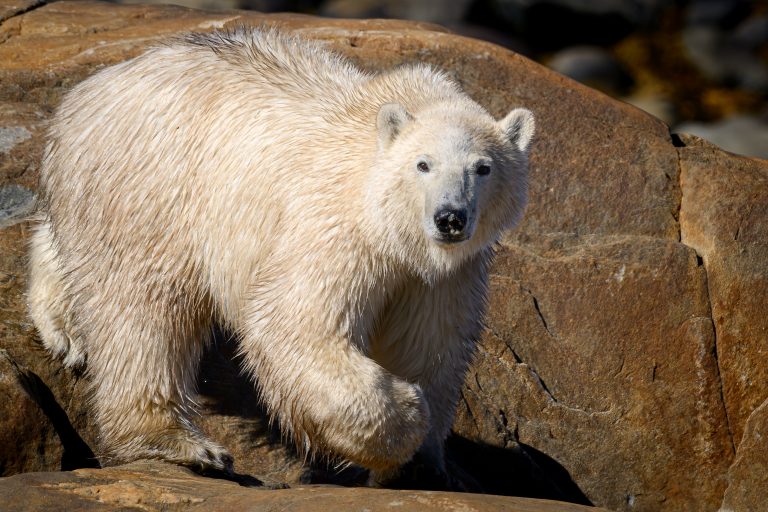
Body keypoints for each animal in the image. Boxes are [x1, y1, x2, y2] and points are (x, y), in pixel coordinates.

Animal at [27, 27, 534, 486]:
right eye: (423, 163)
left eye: (483, 167)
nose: (450, 218)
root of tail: (85, 95)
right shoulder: (335, 228)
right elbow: (294, 323)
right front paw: (407, 418)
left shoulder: (443, 276)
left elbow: (430, 348)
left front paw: (421, 465)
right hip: (150, 185)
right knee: (142, 312)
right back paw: (184, 444)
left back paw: (64, 326)